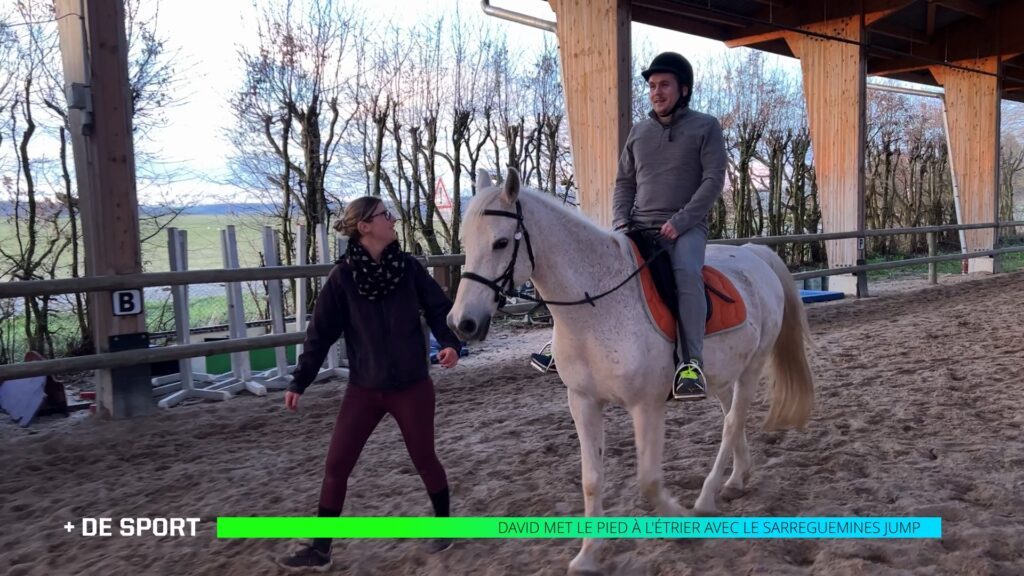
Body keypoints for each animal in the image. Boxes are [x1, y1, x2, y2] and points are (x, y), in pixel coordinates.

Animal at [450, 168, 815, 569]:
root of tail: (754, 254)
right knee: (731, 419)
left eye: (501, 243)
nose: (462, 323)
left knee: (732, 423)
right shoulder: (582, 402)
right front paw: (587, 555)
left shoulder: (647, 406)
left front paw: (681, 522)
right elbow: (591, 479)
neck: (597, 307)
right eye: (467, 242)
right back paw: (736, 479)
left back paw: (705, 500)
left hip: (751, 368)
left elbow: (647, 480)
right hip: (723, 374)